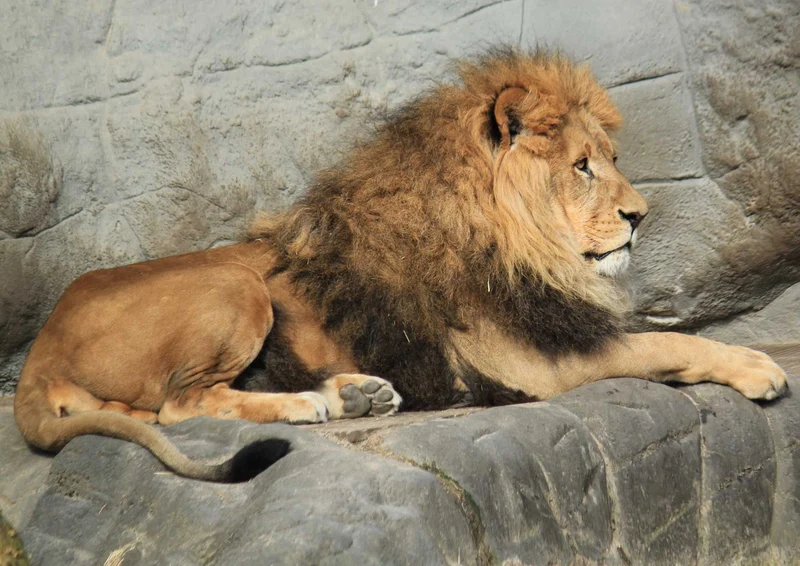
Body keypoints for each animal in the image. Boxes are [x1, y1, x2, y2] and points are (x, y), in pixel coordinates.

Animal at [14, 47, 787, 481]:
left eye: (613, 159)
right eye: (582, 167)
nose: (641, 216)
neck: (515, 241)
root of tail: (39, 349)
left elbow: (665, 333)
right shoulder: (533, 362)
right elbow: (665, 341)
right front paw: (759, 367)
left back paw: (355, 394)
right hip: (234, 284)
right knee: (180, 403)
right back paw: (312, 403)